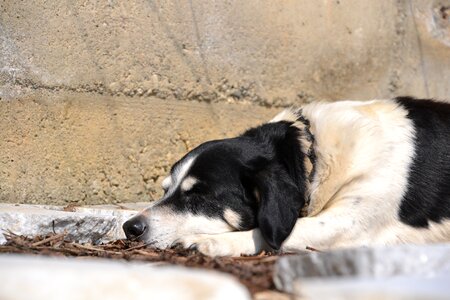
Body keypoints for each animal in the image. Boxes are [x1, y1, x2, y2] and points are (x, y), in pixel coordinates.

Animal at [123, 97, 450, 256]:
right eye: (165, 190)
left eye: (199, 195)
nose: (130, 227)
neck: (311, 156)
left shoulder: (351, 224)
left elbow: (278, 232)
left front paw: (209, 242)